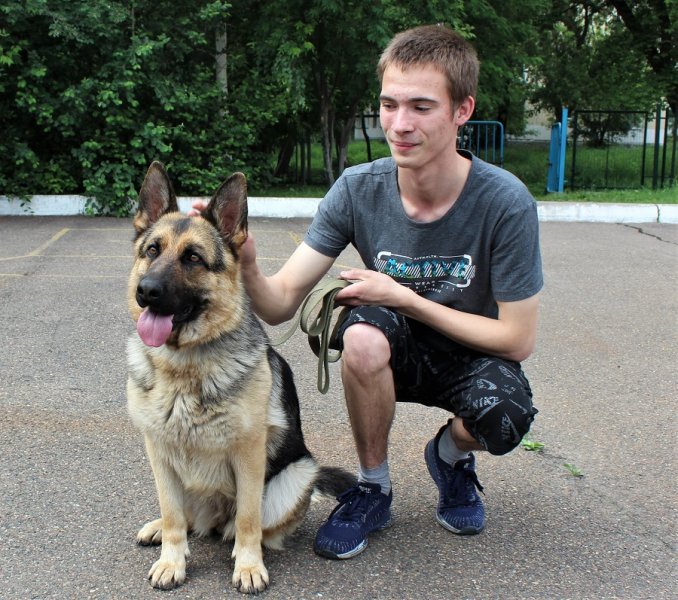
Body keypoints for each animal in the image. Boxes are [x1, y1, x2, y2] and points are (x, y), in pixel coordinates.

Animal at [125, 162, 356, 592]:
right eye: (152, 251)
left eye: (193, 258)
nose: (145, 291)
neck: (186, 366)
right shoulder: (158, 452)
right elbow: (173, 516)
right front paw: (171, 560)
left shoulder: (248, 455)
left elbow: (249, 519)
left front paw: (248, 566)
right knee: (182, 518)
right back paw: (159, 529)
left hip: (296, 474)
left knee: (251, 525)